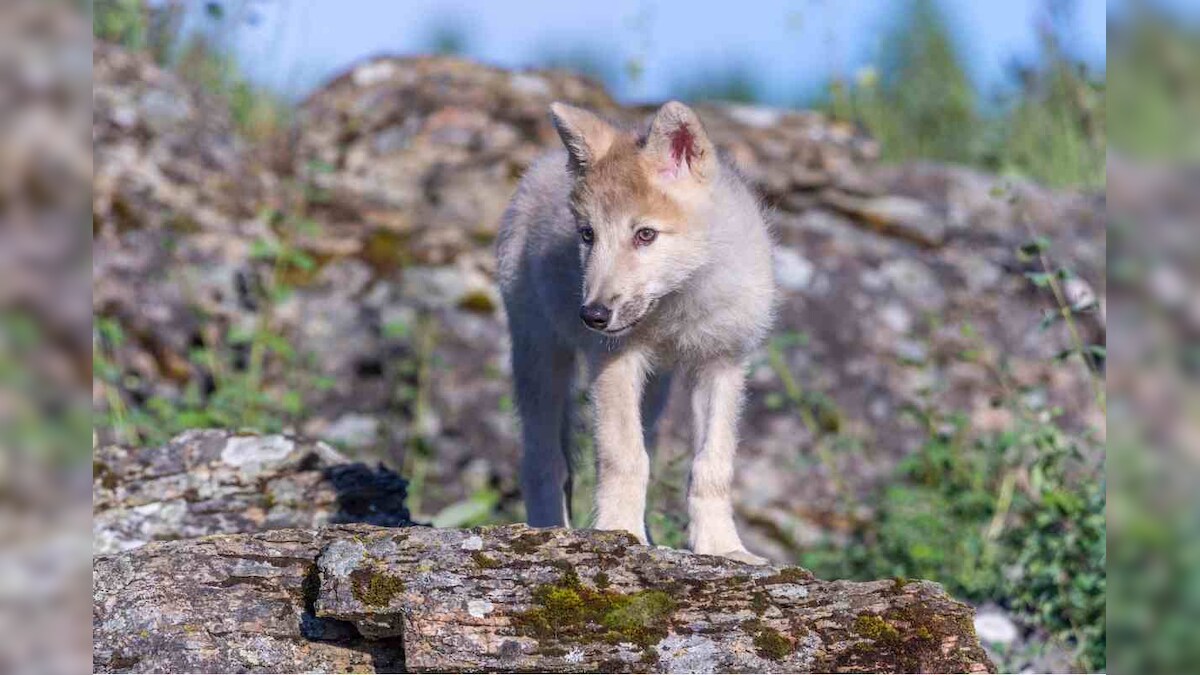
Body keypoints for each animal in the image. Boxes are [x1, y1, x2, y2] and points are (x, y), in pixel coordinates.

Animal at [496, 100, 777, 562]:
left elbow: (711, 466)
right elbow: (624, 455)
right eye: (588, 235)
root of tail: (544, 163)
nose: (592, 315)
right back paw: (548, 531)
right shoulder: (613, 362)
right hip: (539, 360)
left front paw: (722, 548)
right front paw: (618, 533)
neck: (678, 308)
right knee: (542, 462)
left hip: (655, 388)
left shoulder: (722, 365)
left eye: (645, 234)